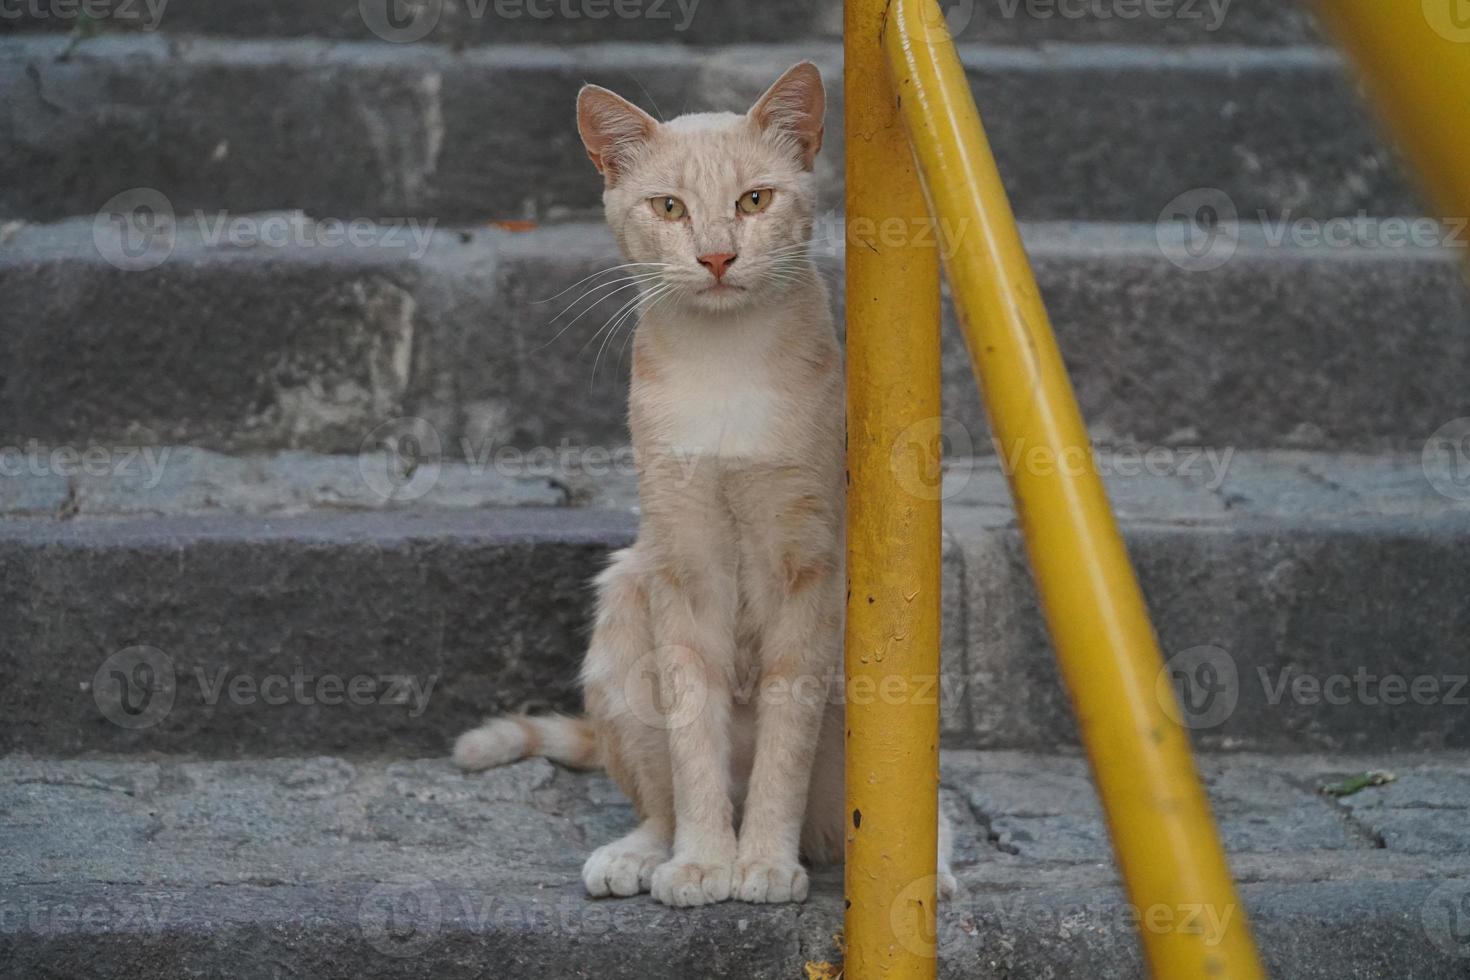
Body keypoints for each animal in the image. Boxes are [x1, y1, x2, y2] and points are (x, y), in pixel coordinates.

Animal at [455, 63, 952, 910]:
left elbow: (786, 743)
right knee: (656, 798)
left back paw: (931, 870)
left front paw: (761, 862)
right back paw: (638, 854)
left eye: (753, 201)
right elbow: (693, 743)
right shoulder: (683, 569)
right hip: (625, 609)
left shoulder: (807, 570)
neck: (727, 370)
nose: (718, 257)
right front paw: (701, 862)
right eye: (669, 208)